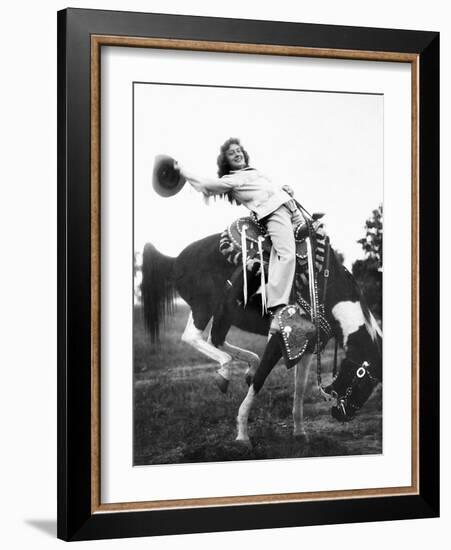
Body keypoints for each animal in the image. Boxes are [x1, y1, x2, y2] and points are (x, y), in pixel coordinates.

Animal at [141, 226, 382, 446]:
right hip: (204, 307)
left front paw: (300, 433)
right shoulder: (279, 339)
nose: (343, 415)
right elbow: (260, 379)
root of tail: (175, 260)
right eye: (363, 381)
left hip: (224, 314)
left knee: (215, 339)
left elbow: (299, 390)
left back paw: (244, 366)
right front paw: (242, 434)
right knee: (192, 337)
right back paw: (225, 373)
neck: (323, 287)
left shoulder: (308, 346)